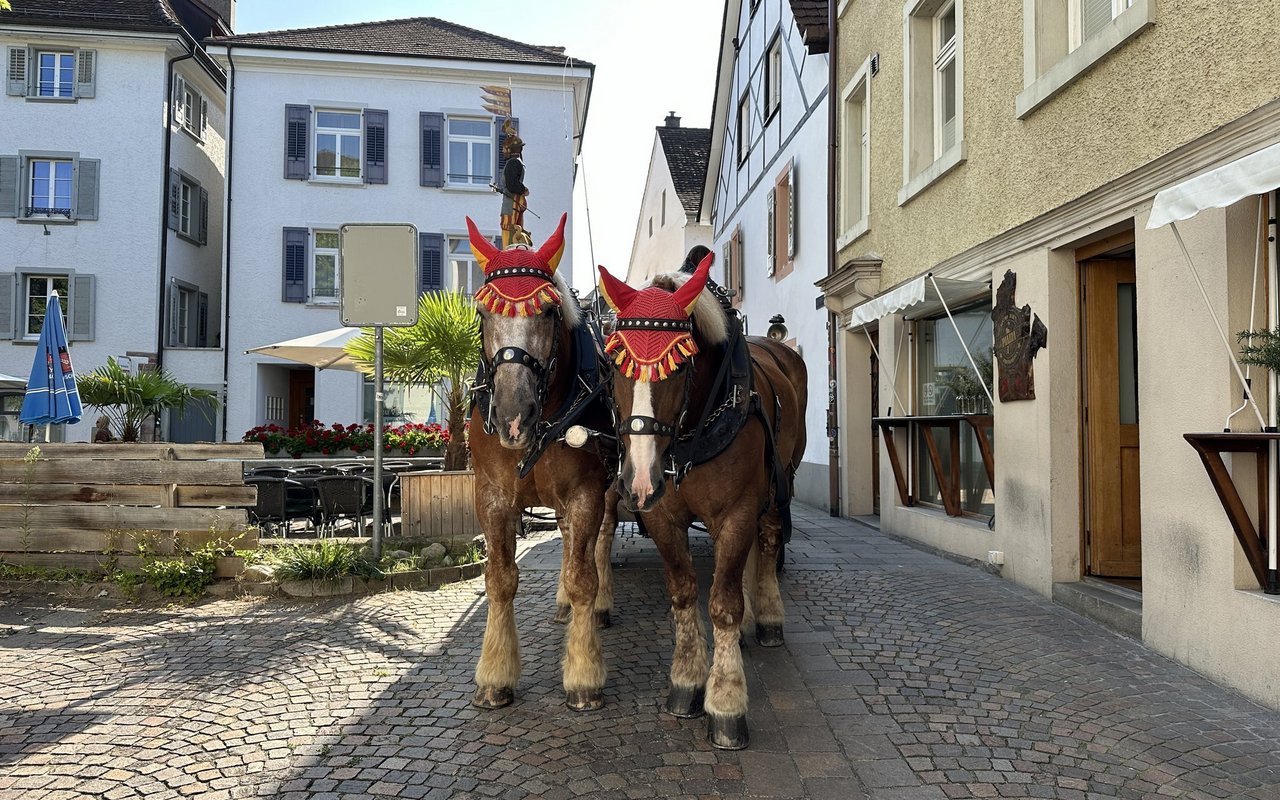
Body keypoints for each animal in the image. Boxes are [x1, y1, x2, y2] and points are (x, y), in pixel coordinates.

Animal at [468, 212, 616, 711]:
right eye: (482, 313)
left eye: (549, 312)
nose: (514, 416)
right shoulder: (492, 497)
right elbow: (500, 579)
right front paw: (495, 675)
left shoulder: (588, 493)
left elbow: (584, 576)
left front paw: (584, 675)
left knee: (597, 545)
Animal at [593, 257, 803, 747]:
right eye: (613, 365)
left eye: (679, 363)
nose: (639, 479)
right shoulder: (663, 516)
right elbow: (684, 591)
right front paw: (687, 681)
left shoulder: (738, 510)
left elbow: (724, 603)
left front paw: (725, 701)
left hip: (778, 484)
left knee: (768, 542)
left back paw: (767, 618)